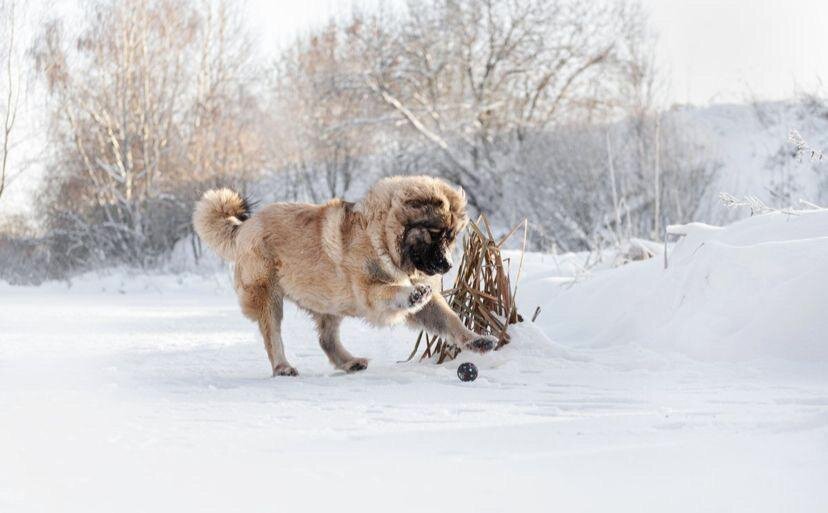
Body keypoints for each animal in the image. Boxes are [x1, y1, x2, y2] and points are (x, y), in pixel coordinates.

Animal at [192, 174, 498, 374]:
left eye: (451, 237)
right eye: (435, 234)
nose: (447, 265)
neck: (381, 236)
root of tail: (244, 227)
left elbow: (449, 319)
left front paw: (475, 339)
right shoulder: (369, 292)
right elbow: (390, 290)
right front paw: (412, 293)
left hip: (328, 301)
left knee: (326, 339)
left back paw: (349, 362)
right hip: (269, 297)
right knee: (273, 336)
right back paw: (283, 366)